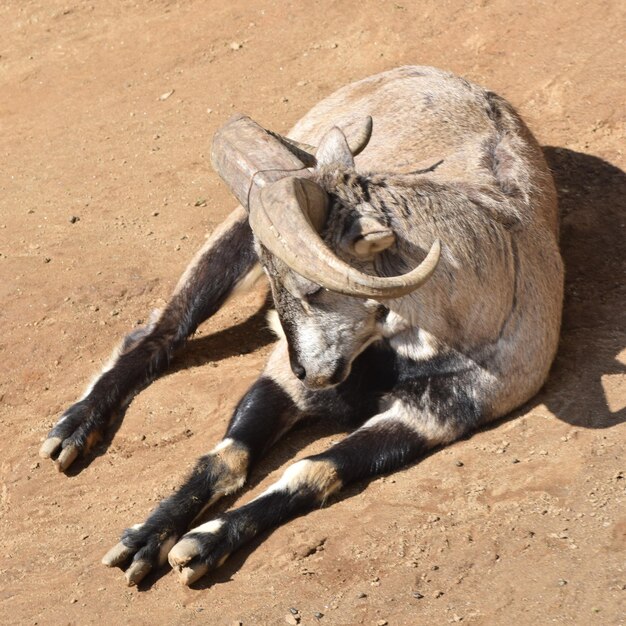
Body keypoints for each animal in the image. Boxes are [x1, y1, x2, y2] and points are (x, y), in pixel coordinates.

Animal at [41, 66, 564, 584]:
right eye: (276, 279)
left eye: (312, 288)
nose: (305, 370)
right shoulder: (281, 381)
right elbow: (227, 455)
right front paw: (143, 540)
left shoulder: (434, 417)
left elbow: (312, 471)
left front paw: (200, 545)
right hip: (230, 238)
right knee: (162, 329)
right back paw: (70, 431)